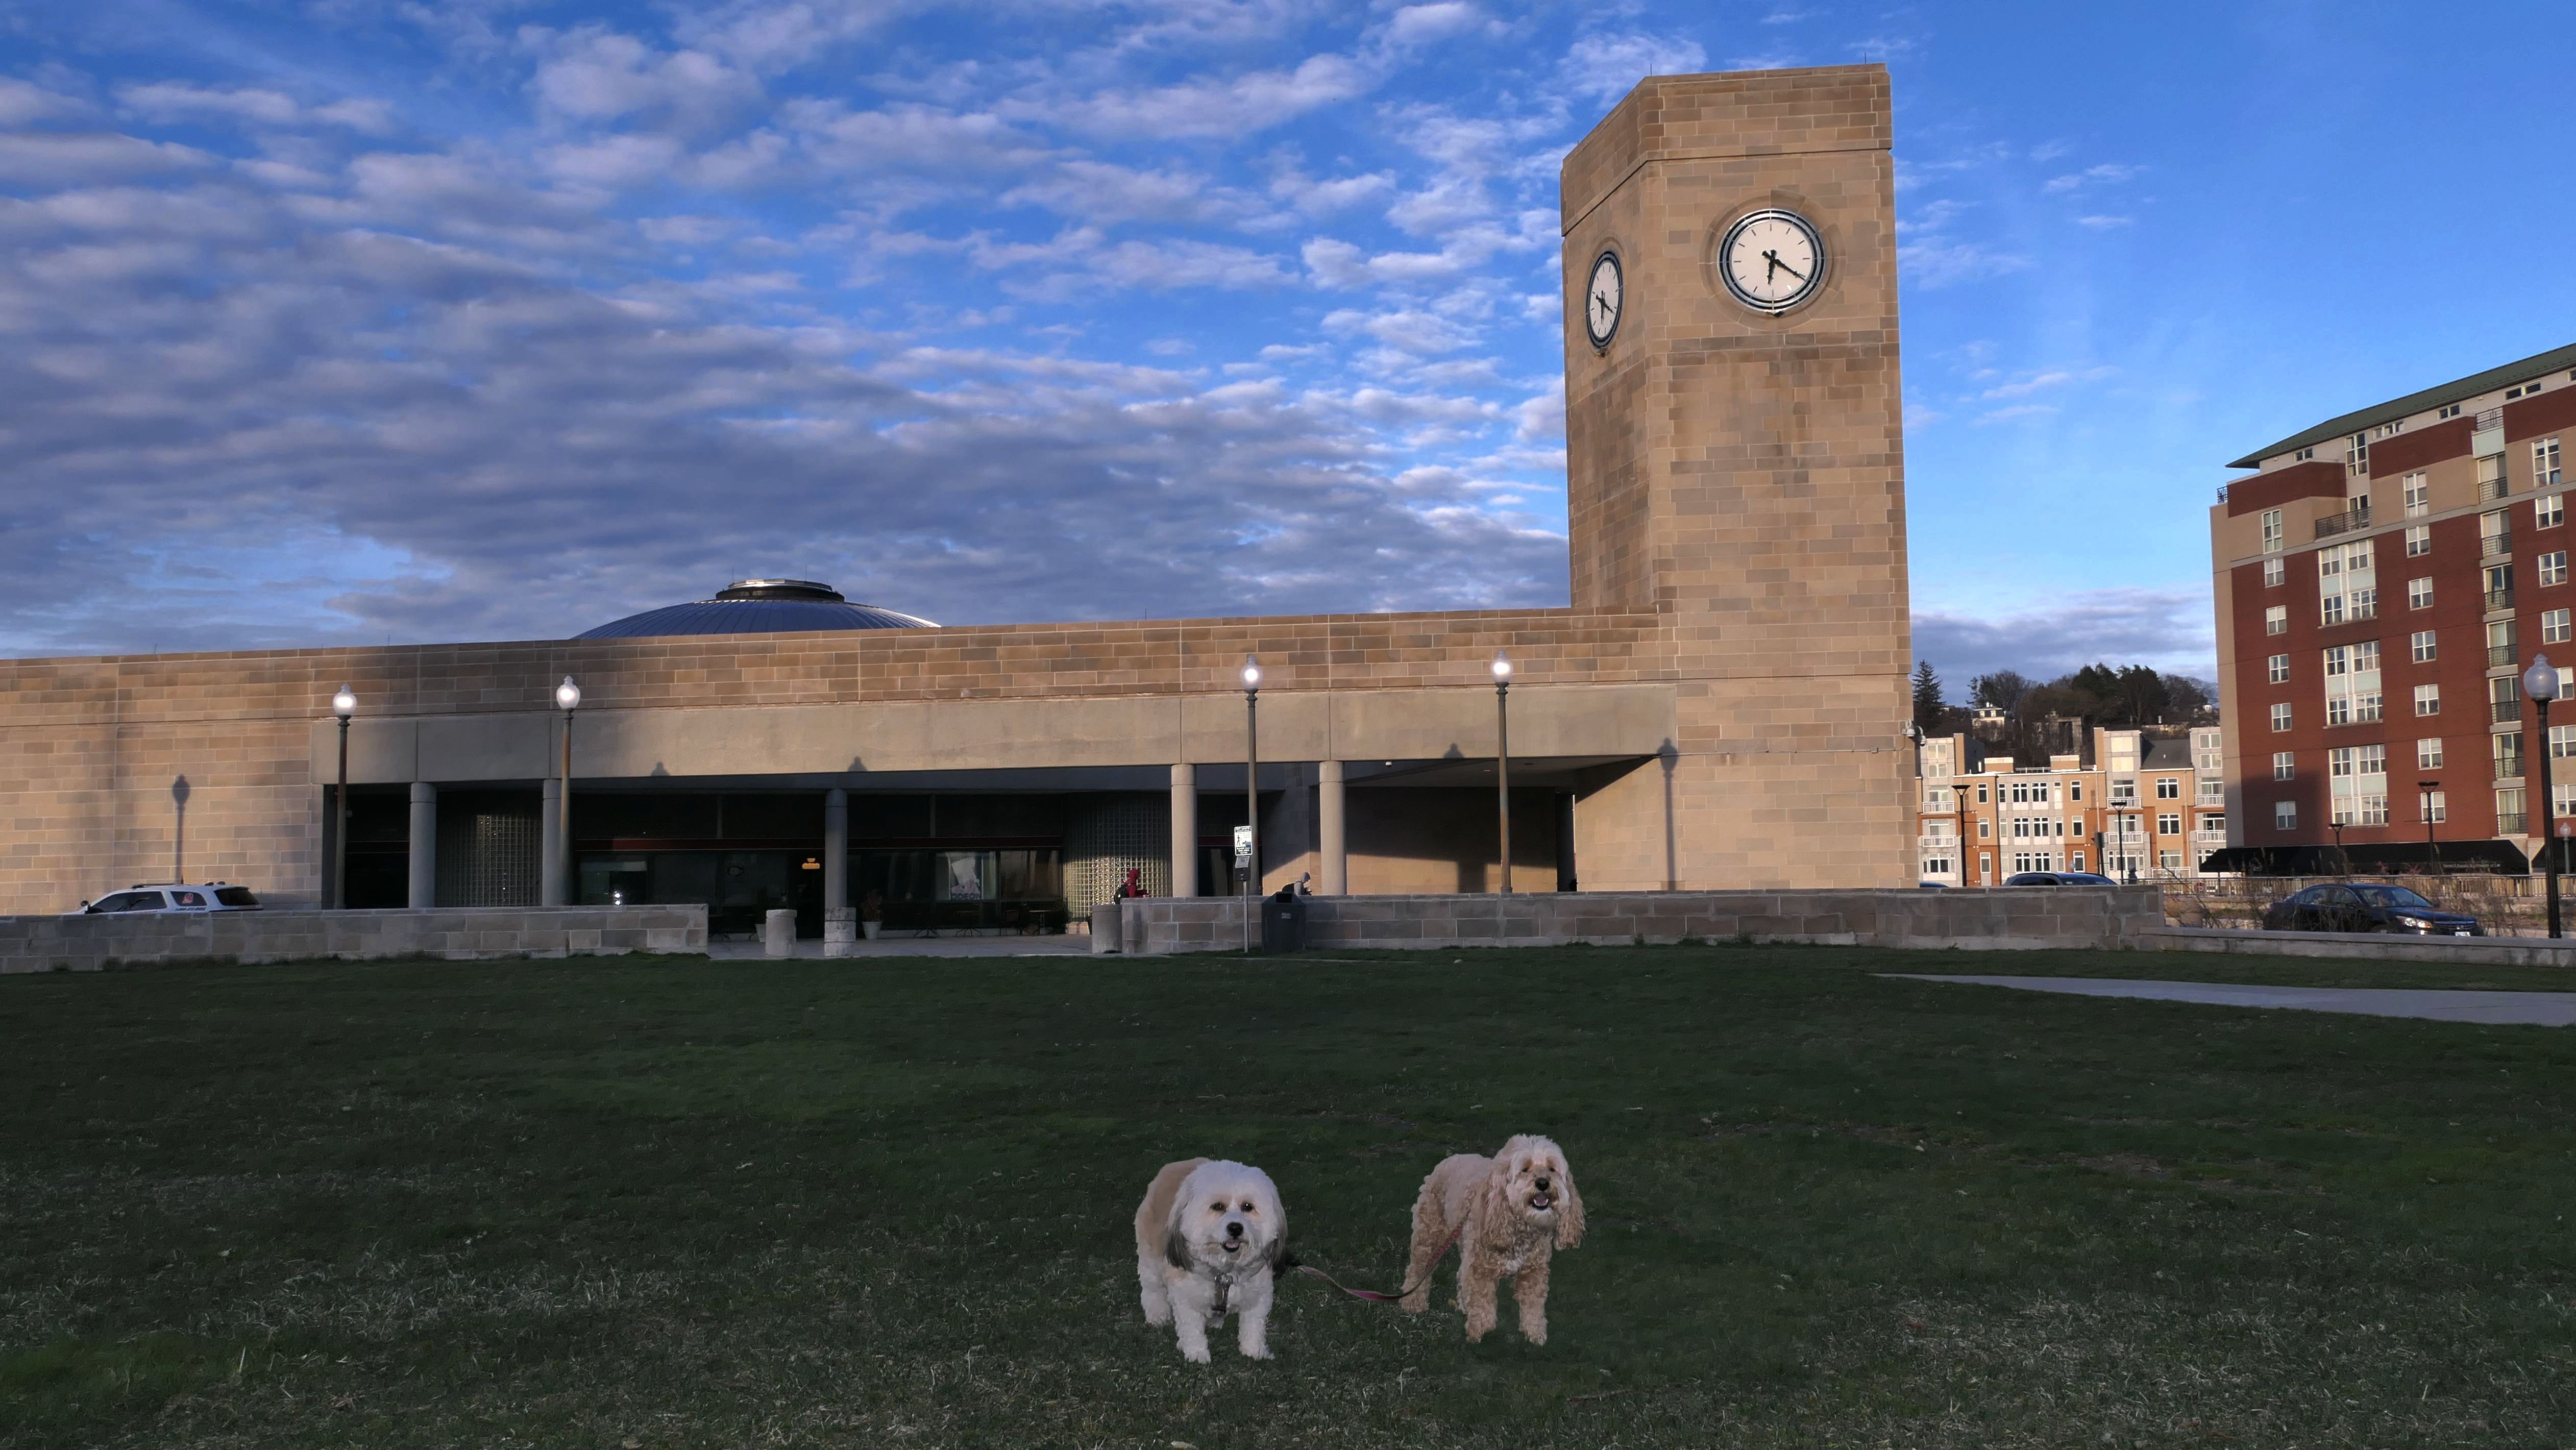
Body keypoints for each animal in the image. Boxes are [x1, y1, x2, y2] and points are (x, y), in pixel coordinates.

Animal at [1133, 1158, 1287, 1362]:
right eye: (1217, 1207)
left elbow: (1254, 1327)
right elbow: (1191, 1330)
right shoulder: (1185, 1297)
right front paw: (1196, 1354)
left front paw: (1255, 1351)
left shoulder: (1259, 1296)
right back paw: (1157, 1314)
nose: (1235, 1228)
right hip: (1150, 1259)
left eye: (1248, 1206)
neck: (1224, 1272)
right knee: (1152, 1290)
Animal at [1401, 1134, 1583, 1343]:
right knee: (1418, 1269)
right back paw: (1412, 1302)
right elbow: (1482, 1304)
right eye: (1525, 1169)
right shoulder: (1479, 1268)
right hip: (1429, 1236)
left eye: (1551, 1168)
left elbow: (1533, 1305)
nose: (1543, 1183)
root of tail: (1450, 1158)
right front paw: (1480, 1333)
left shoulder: (1533, 1271)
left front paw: (1535, 1334)